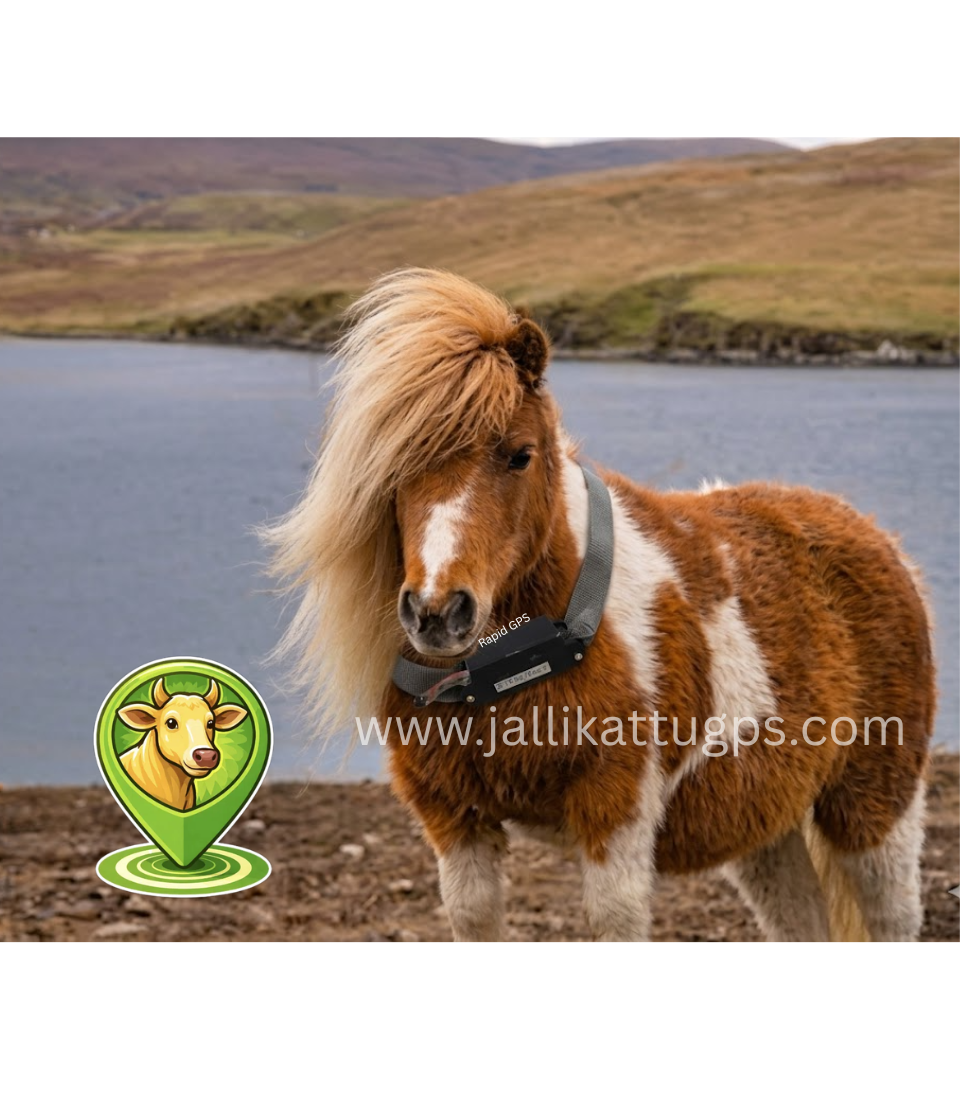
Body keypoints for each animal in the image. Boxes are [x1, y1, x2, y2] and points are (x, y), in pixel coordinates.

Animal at [265, 268, 935, 941]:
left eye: (519, 454)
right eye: (395, 464)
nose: (437, 612)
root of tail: (875, 537)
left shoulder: (615, 814)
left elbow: (614, 919)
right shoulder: (454, 819)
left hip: (874, 811)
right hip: (765, 826)